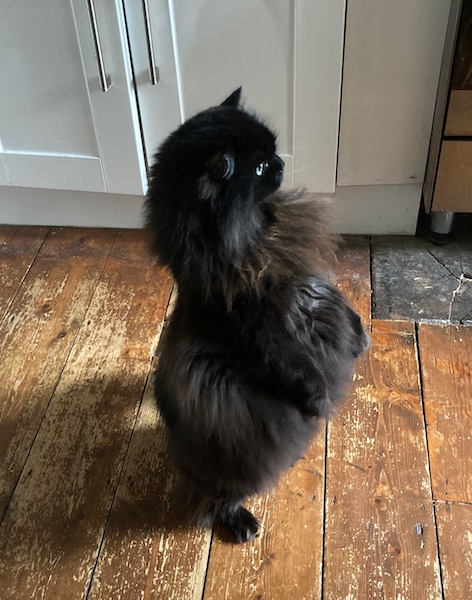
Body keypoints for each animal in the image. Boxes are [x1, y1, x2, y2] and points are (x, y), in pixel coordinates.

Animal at [144, 89, 368, 544]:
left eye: (273, 150)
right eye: (260, 167)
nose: (281, 161)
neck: (258, 236)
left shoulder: (307, 281)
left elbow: (338, 305)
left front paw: (360, 338)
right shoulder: (255, 332)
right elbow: (294, 368)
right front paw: (319, 401)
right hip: (233, 464)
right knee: (213, 499)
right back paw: (240, 523)